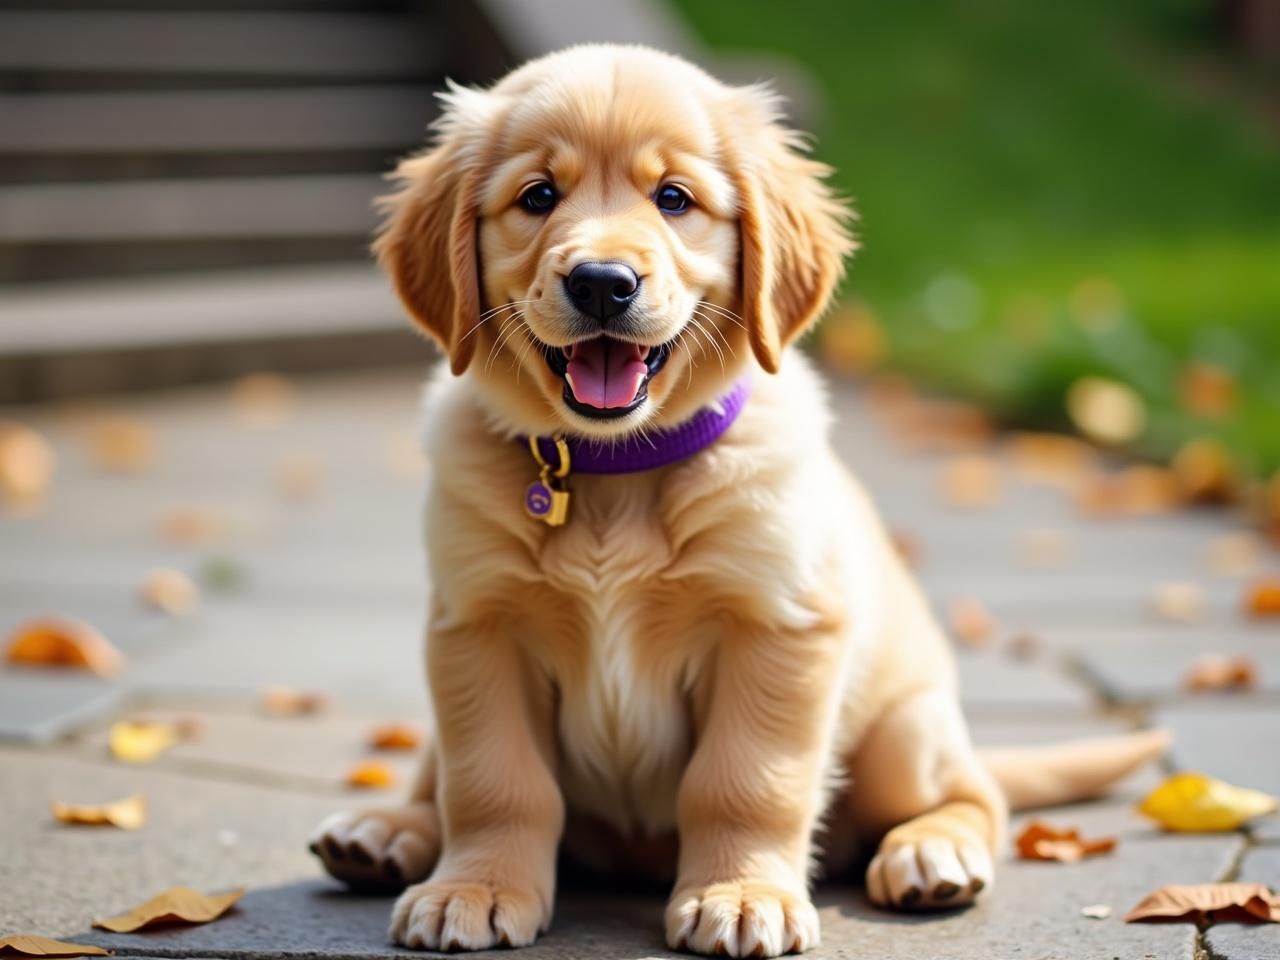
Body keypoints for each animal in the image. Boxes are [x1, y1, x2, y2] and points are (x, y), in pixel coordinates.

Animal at [312, 43, 1172, 957]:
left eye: (674, 198)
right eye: (538, 196)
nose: (603, 282)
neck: (616, 475)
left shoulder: (778, 625)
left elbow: (744, 781)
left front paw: (742, 895)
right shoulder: (476, 626)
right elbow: (492, 780)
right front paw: (474, 887)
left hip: (906, 731)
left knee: (980, 795)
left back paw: (932, 851)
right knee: (433, 778)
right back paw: (383, 833)